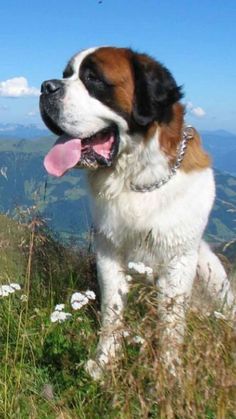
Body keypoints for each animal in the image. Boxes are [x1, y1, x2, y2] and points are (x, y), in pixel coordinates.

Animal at [39, 46, 235, 380]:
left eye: (93, 78)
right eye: (66, 74)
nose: (45, 86)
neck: (137, 179)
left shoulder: (179, 260)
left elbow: (171, 324)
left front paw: (168, 374)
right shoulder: (108, 253)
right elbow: (112, 311)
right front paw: (104, 361)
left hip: (210, 268)